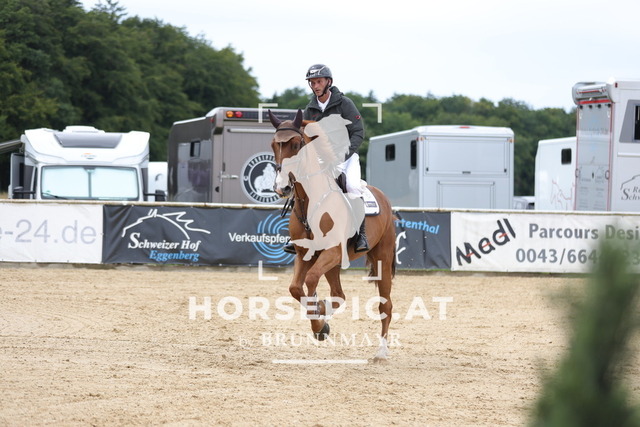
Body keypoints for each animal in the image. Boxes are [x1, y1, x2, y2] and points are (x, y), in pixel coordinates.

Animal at [269, 109, 396, 360]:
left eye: (296, 144)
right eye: (273, 145)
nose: (282, 188)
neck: (311, 203)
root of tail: (383, 197)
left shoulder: (332, 251)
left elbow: (310, 281)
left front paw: (319, 319)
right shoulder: (304, 255)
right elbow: (296, 288)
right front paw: (320, 322)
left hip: (381, 259)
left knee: (385, 305)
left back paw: (382, 352)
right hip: (334, 264)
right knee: (339, 294)